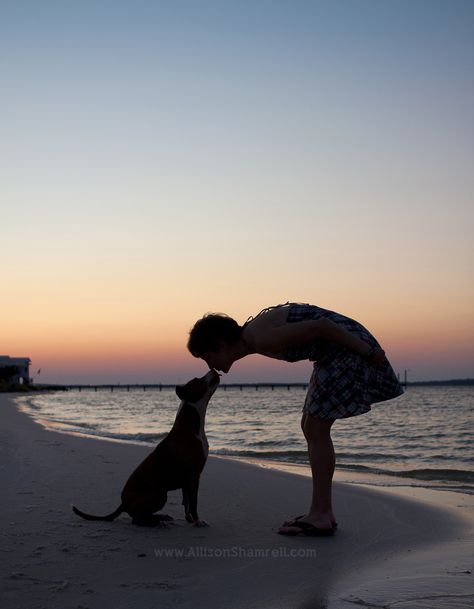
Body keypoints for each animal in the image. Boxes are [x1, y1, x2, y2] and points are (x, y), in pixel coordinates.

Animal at [71, 368, 219, 524]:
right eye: (198, 380)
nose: (213, 369)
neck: (190, 425)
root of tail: (123, 503)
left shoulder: (186, 480)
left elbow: (187, 502)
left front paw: (190, 519)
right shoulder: (193, 476)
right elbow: (193, 502)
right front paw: (197, 521)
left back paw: (160, 517)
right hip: (160, 494)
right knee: (137, 519)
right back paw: (156, 522)